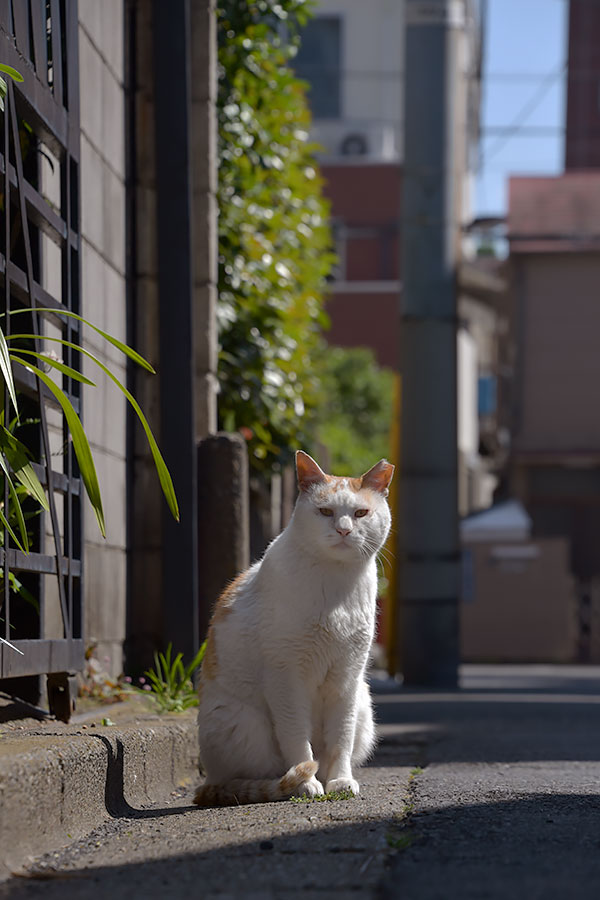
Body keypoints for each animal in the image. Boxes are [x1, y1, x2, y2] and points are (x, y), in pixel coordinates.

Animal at [192, 450, 396, 808]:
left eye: (361, 513)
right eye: (325, 511)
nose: (343, 530)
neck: (335, 583)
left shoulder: (346, 678)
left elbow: (339, 740)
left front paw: (340, 781)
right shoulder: (286, 678)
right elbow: (297, 739)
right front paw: (306, 783)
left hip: (363, 704)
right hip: (244, 723)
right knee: (250, 777)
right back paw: (280, 784)